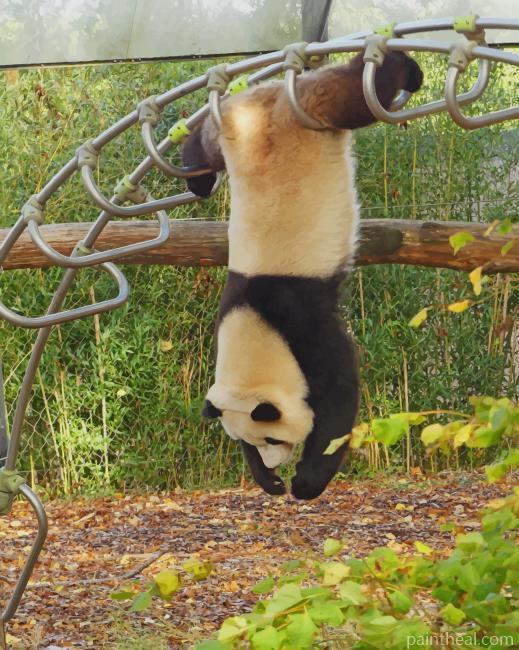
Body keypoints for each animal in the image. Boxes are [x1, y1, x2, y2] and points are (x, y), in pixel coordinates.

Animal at [182, 51, 423, 500]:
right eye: (246, 439)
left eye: (273, 437)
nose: (276, 462)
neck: (255, 321)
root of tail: (268, 94)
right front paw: (267, 480)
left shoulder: (303, 325)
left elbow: (339, 394)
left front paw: (306, 482)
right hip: (228, 124)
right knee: (201, 142)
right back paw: (199, 180)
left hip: (311, 109)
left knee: (357, 92)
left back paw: (405, 69)